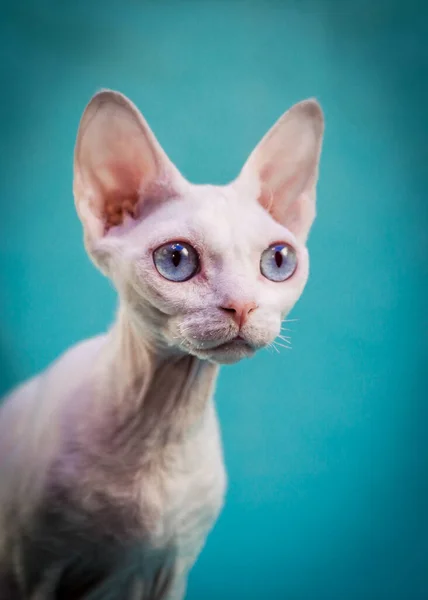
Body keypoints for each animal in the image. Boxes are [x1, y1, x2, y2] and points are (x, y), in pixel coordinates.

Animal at [0, 90, 322, 600]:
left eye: (278, 260)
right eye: (176, 259)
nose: (243, 306)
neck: (163, 422)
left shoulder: (168, 572)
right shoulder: (30, 570)